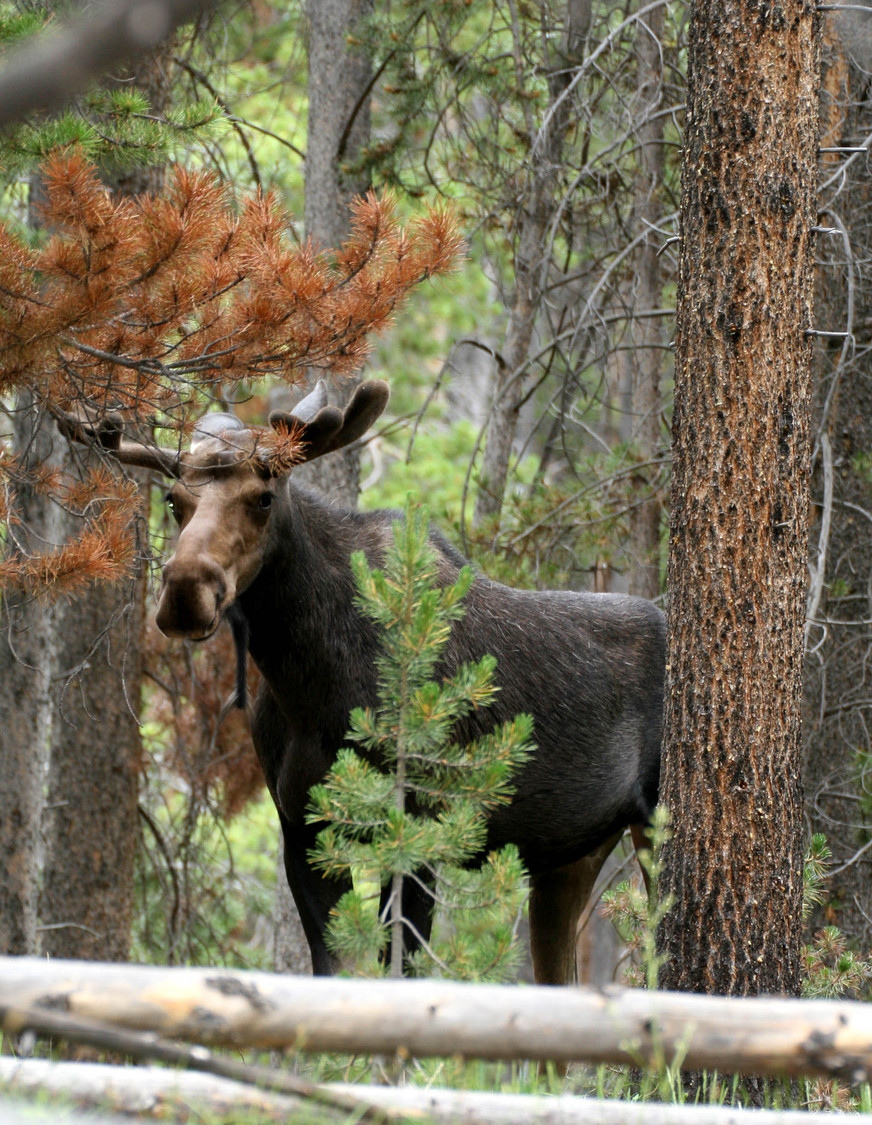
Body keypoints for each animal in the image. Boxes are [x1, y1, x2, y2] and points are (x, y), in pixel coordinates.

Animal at [61, 382, 666, 981]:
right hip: (569, 857)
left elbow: (399, 969)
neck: (306, 684)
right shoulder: (303, 829)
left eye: (264, 497)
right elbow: (336, 969)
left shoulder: (418, 826)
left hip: (651, 823)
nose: (187, 592)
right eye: (173, 501)